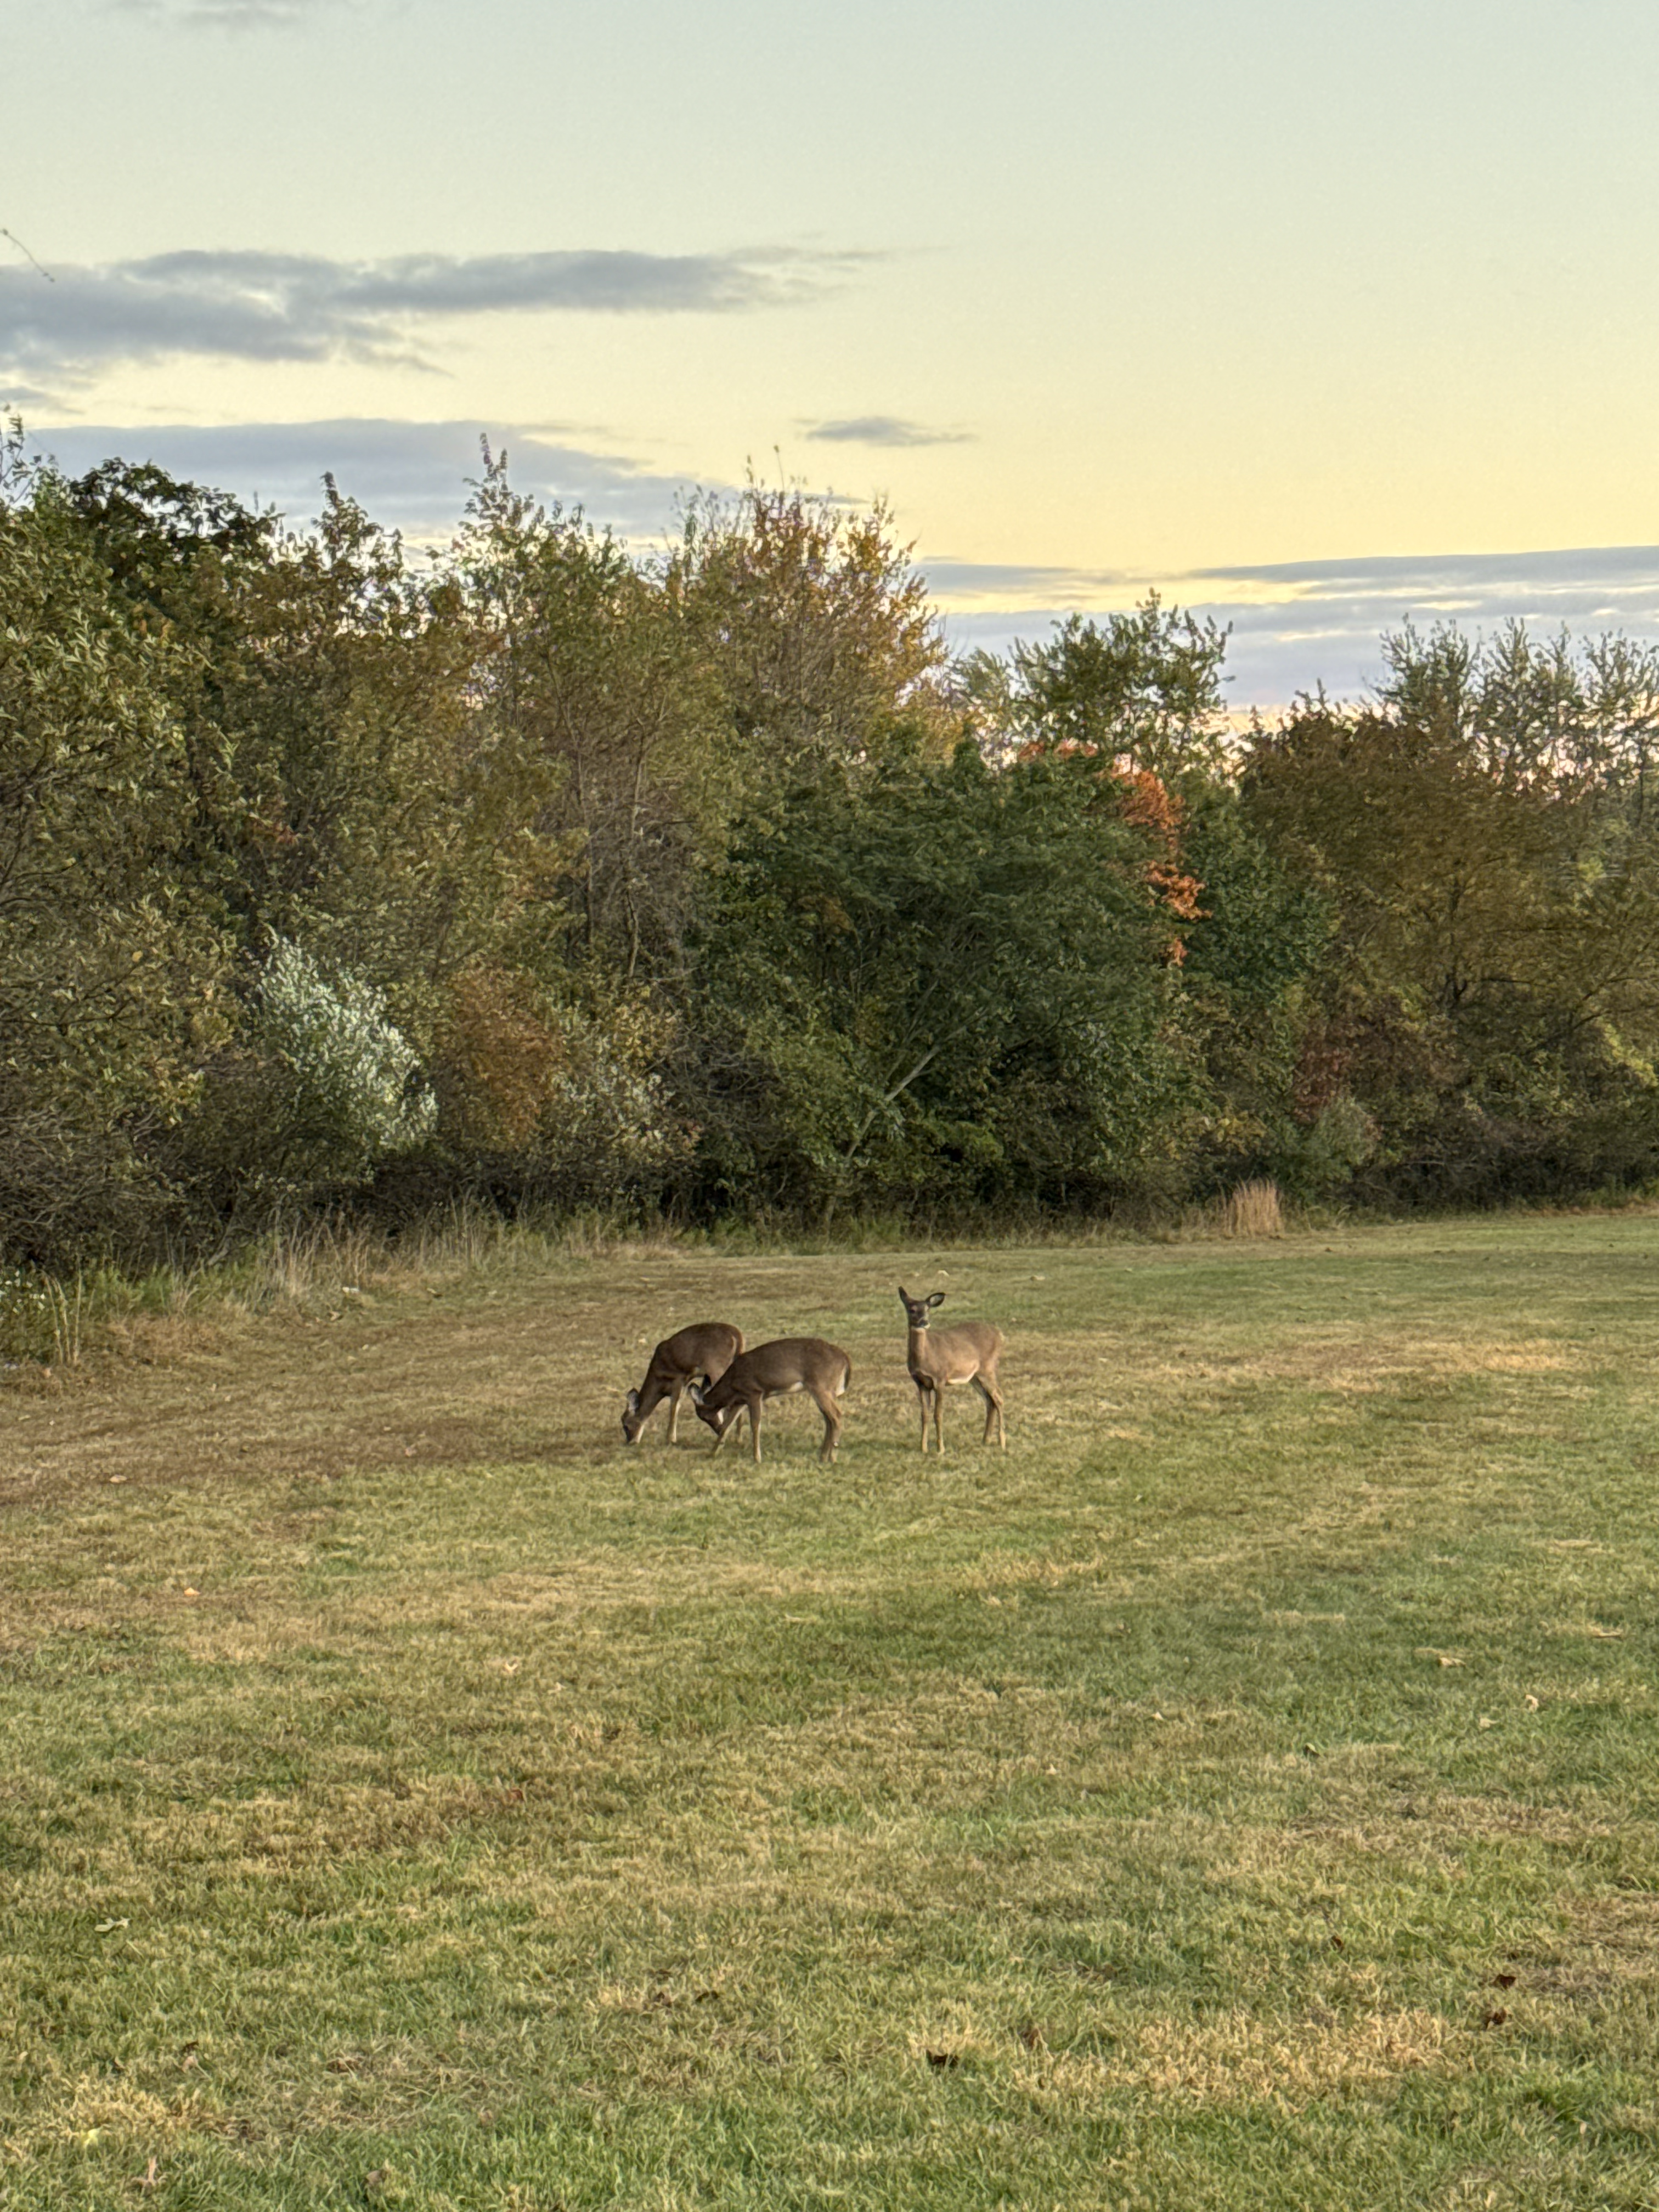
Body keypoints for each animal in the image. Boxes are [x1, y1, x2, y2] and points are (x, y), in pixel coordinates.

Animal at [621, 1321, 745, 1446]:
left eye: (625, 1425)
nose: (630, 1442)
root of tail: (737, 1335)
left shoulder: (679, 1378)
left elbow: (674, 1406)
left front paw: (670, 1439)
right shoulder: (686, 1381)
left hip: (716, 1367)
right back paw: (738, 1439)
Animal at [690, 1337, 852, 1464]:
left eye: (703, 1416)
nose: (715, 1429)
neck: (732, 1384)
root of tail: (845, 1358)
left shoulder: (755, 1393)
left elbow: (755, 1425)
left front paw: (757, 1458)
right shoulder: (740, 1401)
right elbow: (728, 1425)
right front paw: (713, 1453)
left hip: (821, 1386)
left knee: (837, 1415)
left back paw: (832, 1457)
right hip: (823, 1390)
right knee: (828, 1419)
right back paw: (823, 1456)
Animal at [898, 1286, 1005, 1453]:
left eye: (928, 1309)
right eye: (912, 1310)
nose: (924, 1322)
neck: (926, 1355)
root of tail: (1000, 1335)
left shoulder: (940, 1378)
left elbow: (938, 1414)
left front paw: (940, 1449)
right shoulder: (921, 1383)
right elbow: (924, 1415)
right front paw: (923, 1448)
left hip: (988, 1368)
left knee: (999, 1398)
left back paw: (1002, 1442)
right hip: (974, 1377)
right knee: (990, 1401)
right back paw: (985, 1440)